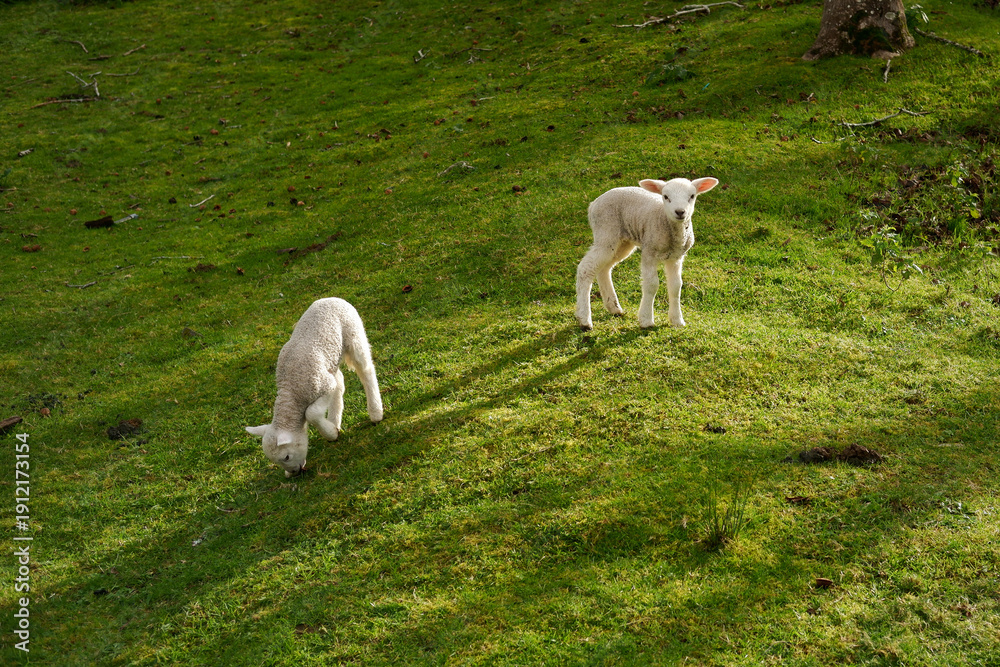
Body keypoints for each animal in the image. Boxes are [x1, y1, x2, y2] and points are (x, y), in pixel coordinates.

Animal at [245, 297, 383, 477]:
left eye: (286, 457)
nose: (294, 472)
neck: (292, 392)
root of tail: (331, 298)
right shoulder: (324, 381)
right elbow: (334, 388)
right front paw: (332, 431)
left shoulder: (323, 386)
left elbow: (311, 413)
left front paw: (330, 434)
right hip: (330, 361)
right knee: (339, 381)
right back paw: (334, 421)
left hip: (354, 334)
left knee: (366, 370)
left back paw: (375, 412)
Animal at [574, 177, 719, 330]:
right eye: (665, 196)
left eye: (692, 196)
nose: (680, 212)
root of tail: (593, 204)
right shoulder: (649, 252)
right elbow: (651, 285)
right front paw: (646, 320)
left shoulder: (676, 257)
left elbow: (675, 286)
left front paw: (677, 320)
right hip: (606, 232)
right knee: (586, 269)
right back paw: (584, 319)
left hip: (622, 242)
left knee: (604, 269)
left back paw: (614, 308)